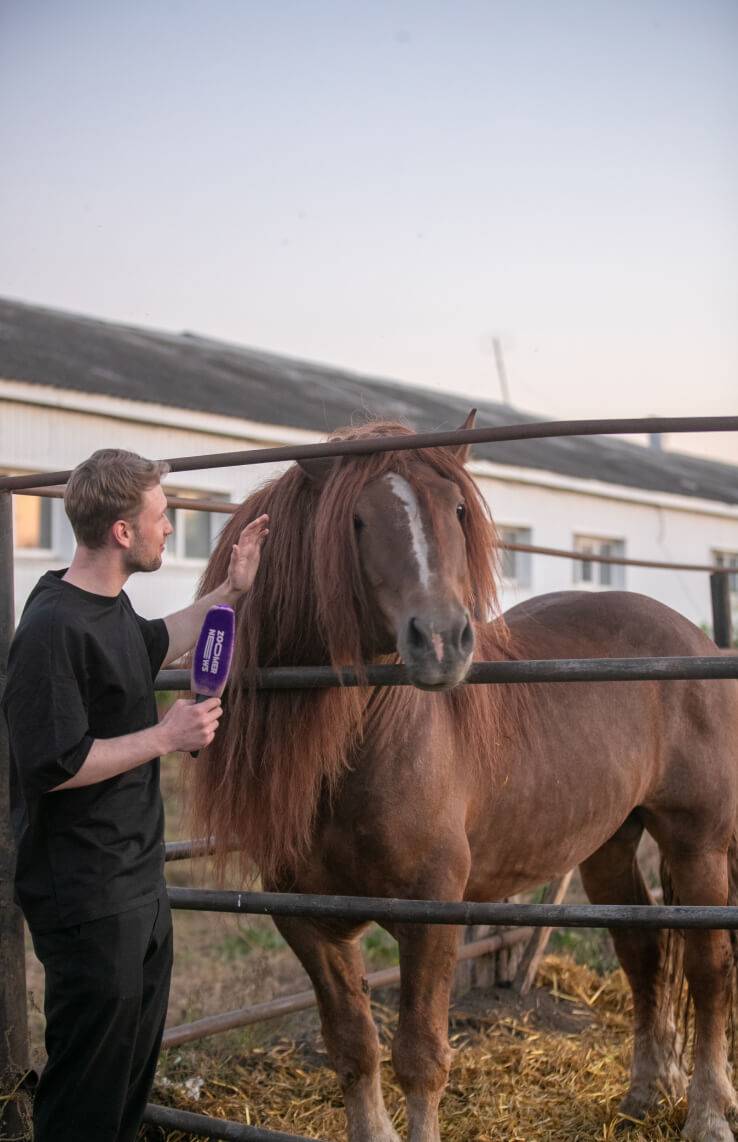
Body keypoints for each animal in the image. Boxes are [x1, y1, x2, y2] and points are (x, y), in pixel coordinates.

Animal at [194, 415, 738, 1142]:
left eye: (455, 509)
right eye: (356, 519)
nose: (442, 641)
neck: (356, 752)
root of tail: (694, 639)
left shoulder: (433, 910)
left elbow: (420, 1057)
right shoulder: (303, 918)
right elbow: (353, 1047)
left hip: (696, 841)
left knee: (708, 968)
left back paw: (707, 1111)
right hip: (610, 845)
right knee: (643, 948)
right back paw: (648, 1092)